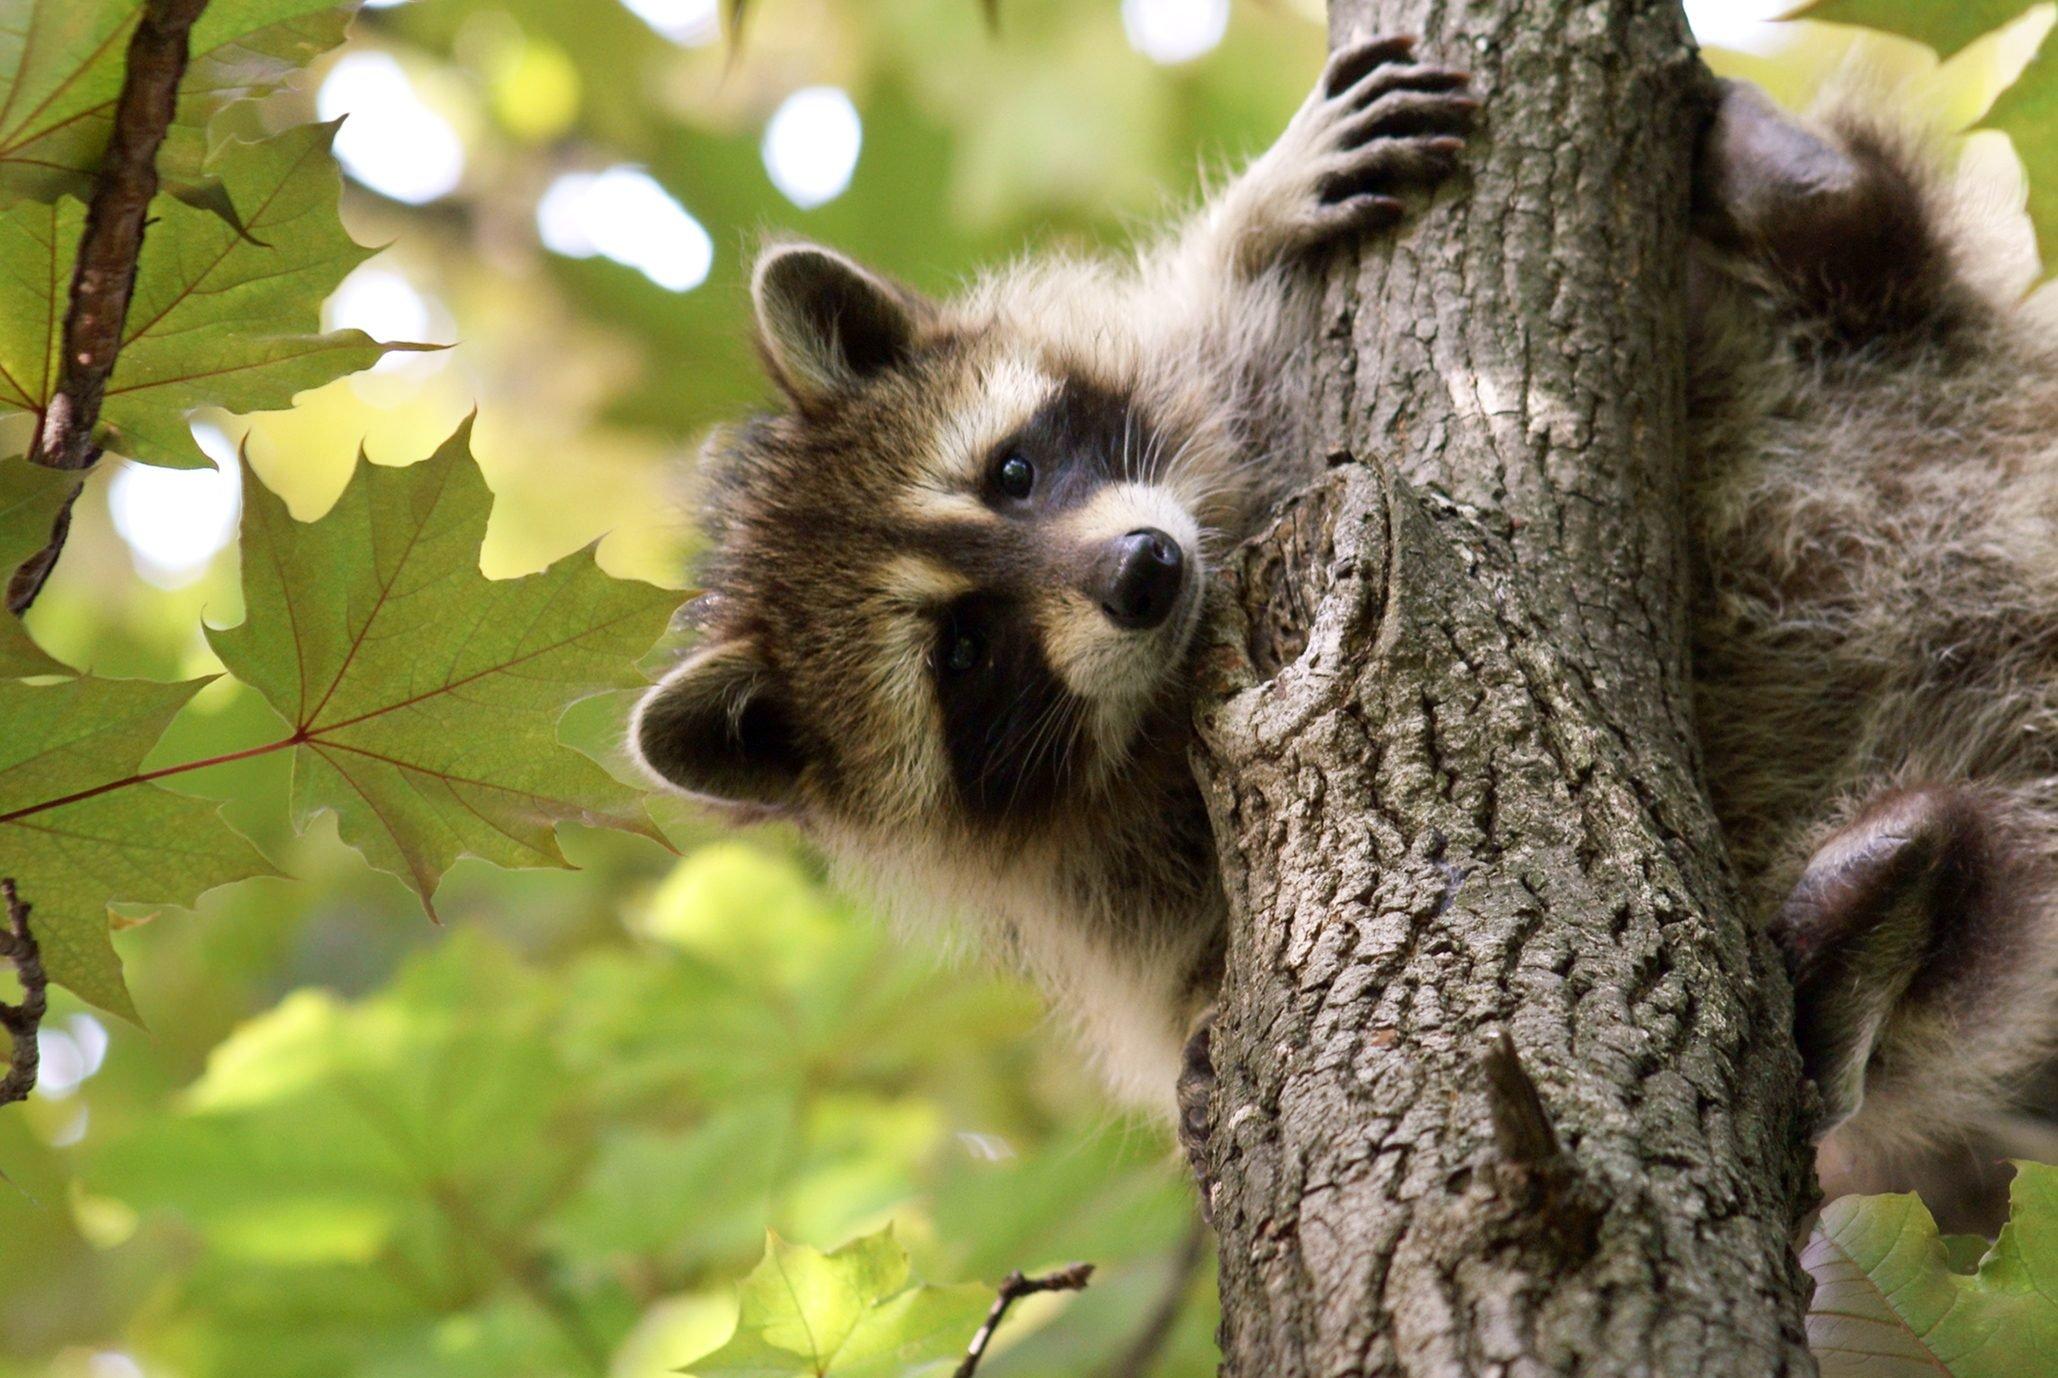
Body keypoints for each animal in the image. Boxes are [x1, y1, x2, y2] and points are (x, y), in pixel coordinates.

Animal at [632, 46, 2058, 1228]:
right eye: (965, 654)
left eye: (1016, 472)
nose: (1143, 573)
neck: (1168, 660)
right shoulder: (1100, 878)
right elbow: (1176, 980)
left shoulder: (1234, 418)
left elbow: (1214, 322)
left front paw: (1251, 214)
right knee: (1988, 904)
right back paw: (1885, 890)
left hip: (1921, 359)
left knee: (1887, 283)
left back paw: (1813, 195)